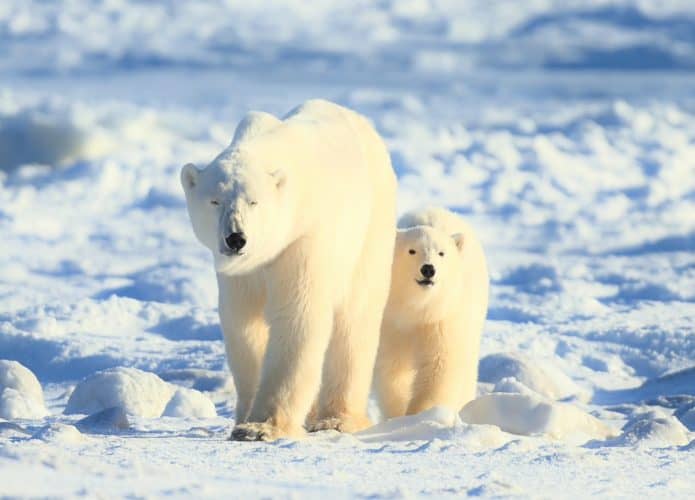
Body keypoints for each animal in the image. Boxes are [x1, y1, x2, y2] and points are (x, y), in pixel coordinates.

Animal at [181, 99, 396, 440]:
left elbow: (297, 315)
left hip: (368, 231)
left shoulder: (302, 241)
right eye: (214, 200)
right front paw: (243, 419)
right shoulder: (239, 274)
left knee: (354, 319)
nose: (236, 238)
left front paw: (261, 427)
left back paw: (337, 418)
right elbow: (243, 324)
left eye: (253, 201)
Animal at [376, 207, 490, 418]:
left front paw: (421, 414)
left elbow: (439, 365)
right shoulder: (390, 324)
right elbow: (392, 369)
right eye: (411, 250)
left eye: (441, 253)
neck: (419, 308)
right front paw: (398, 415)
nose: (428, 269)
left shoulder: (442, 320)